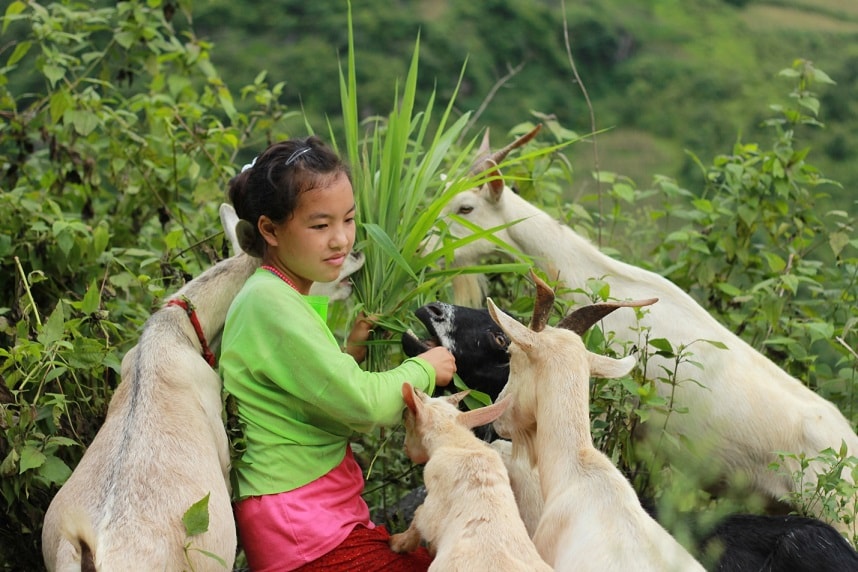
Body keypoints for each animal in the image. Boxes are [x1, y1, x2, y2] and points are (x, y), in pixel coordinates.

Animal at [388, 380, 548, 572]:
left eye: (405, 419)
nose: (405, 448)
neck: (461, 443)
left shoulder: (433, 507)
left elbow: (419, 516)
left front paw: (398, 543)